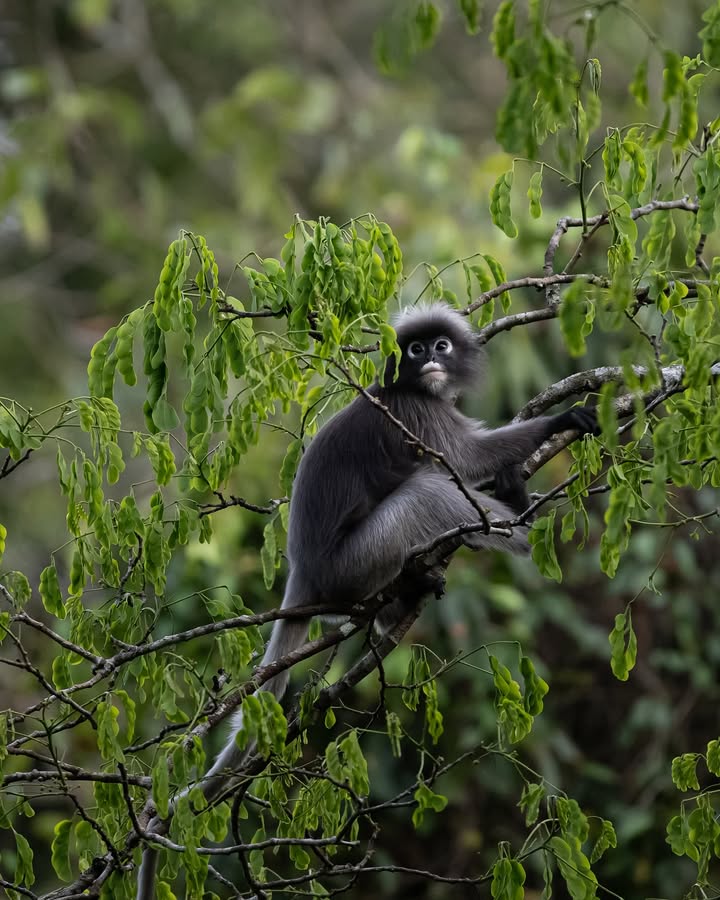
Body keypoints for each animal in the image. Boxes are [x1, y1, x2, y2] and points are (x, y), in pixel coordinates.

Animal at [136, 302, 596, 892]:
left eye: (441, 347)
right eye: (416, 350)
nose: (429, 361)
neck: (414, 390)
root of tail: (304, 571)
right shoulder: (414, 413)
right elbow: (465, 460)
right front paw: (563, 420)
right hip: (355, 562)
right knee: (429, 489)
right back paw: (514, 521)